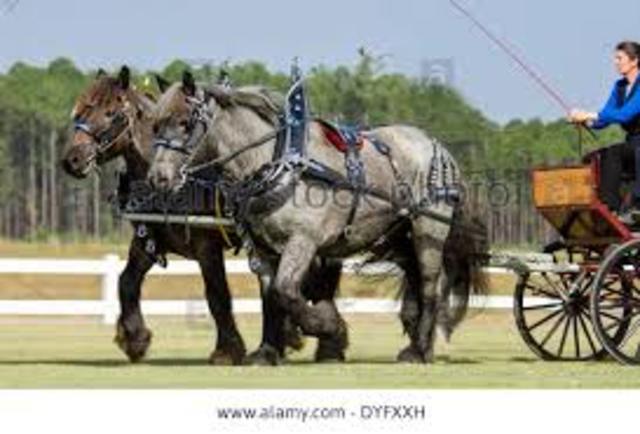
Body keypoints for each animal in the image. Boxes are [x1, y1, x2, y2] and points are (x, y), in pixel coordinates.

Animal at [61, 66, 347, 365]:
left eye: (110, 113)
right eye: (79, 112)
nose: (72, 160)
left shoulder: (206, 244)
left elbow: (217, 294)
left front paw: (227, 349)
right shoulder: (148, 240)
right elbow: (126, 282)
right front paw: (135, 338)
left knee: (318, 284)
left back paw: (327, 343)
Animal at [147, 71, 488, 364]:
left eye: (185, 123)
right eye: (155, 126)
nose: (157, 178)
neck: (278, 163)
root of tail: (435, 145)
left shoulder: (303, 241)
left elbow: (286, 291)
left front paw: (328, 326)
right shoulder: (263, 249)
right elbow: (271, 298)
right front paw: (267, 351)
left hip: (428, 230)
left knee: (431, 287)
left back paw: (419, 350)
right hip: (397, 235)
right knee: (416, 281)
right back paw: (418, 344)